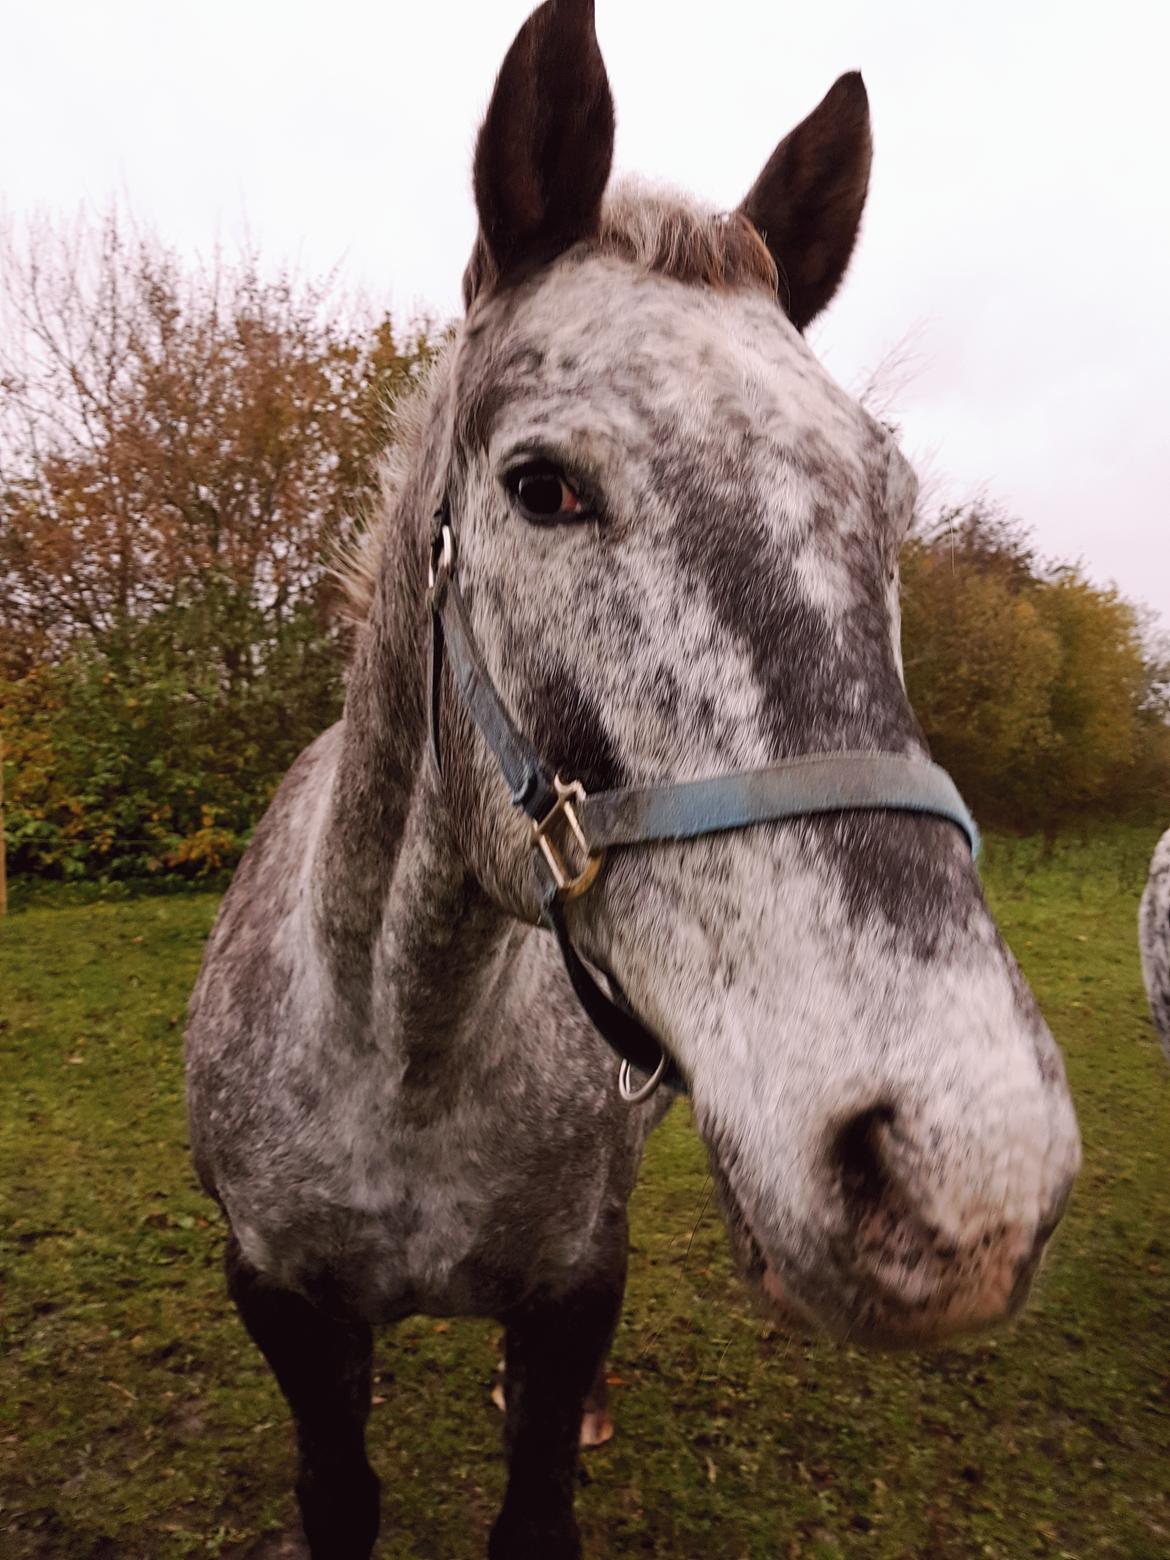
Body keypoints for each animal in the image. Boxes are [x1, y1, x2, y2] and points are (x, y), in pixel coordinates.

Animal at [185, 6, 1079, 1553]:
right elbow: (338, 1488)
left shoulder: (569, 1293)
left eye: (891, 504)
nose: (968, 1166)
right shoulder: (283, 1307)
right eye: (539, 486)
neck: (400, 1052)